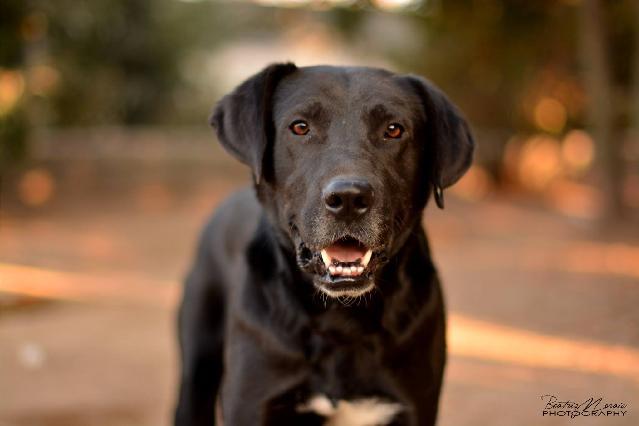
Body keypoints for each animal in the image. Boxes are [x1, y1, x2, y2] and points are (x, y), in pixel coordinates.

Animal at [175, 63, 476, 426]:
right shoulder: (253, 404)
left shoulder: (414, 407)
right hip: (197, 370)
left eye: (394, 130)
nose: (348, 199)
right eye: (300, 127)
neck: (340, 318)